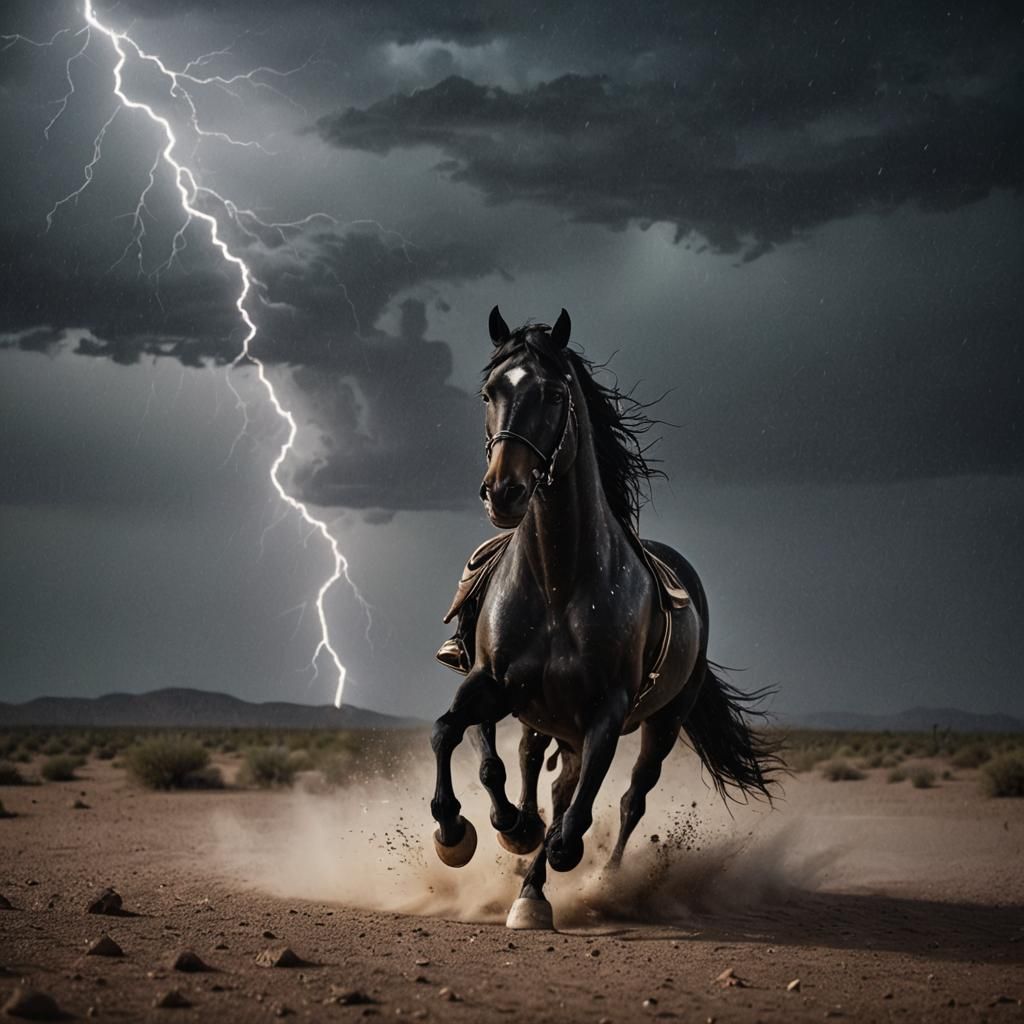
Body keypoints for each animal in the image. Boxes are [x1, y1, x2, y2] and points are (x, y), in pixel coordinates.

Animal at [429, 306, 780, 929]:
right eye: (489, 392)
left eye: (552, 393)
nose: (504, 492)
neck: (557, 582)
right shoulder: (490, 683)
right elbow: (451, 735)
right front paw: (457, 833)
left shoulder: (606, 713)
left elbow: (574, 824)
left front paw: (535, 890)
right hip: (548, 720)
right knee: (533, 769)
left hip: (661, 724)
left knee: (628, 797)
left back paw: (602, 878)